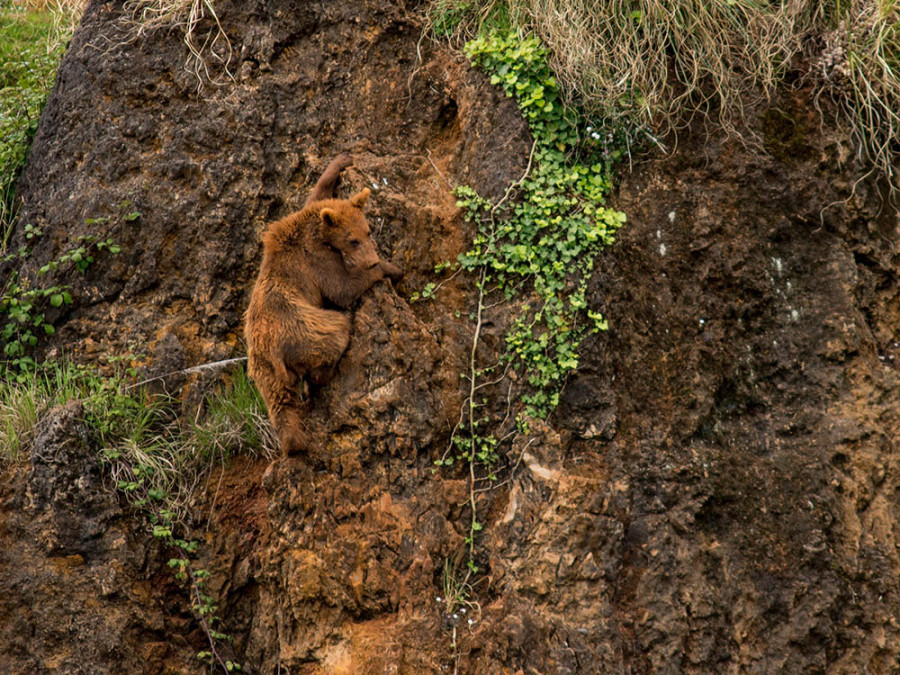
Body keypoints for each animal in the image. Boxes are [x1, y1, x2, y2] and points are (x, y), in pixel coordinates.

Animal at [244, 156, 402, 456]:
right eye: (353, 240)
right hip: (304, 329)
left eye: (367, 231)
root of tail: (274, 351)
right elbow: (342, 288)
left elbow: (316, 193)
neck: (317, 234)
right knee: (335, 331)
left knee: (281, 404)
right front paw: (391, 268)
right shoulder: (315, 262)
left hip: (262, 369)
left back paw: (295, 443)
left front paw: (339, 162)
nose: (372, 260)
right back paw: (327, 370)